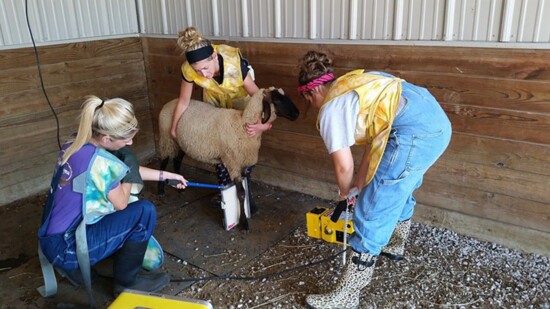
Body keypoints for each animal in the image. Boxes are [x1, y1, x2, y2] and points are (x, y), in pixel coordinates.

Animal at [157, 86, 300, 229]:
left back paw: (180, 187)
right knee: (164, 162)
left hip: (181, 142)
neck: (242, 125)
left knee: (177, 160)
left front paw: (252, 208)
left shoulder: (244, 163)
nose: (297, 113)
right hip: (166, 139)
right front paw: (243, 222)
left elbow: (248, 187)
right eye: (277, 100)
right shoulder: (233, 164)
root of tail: (170, 102)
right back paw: (160, 190)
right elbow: (241, 193)